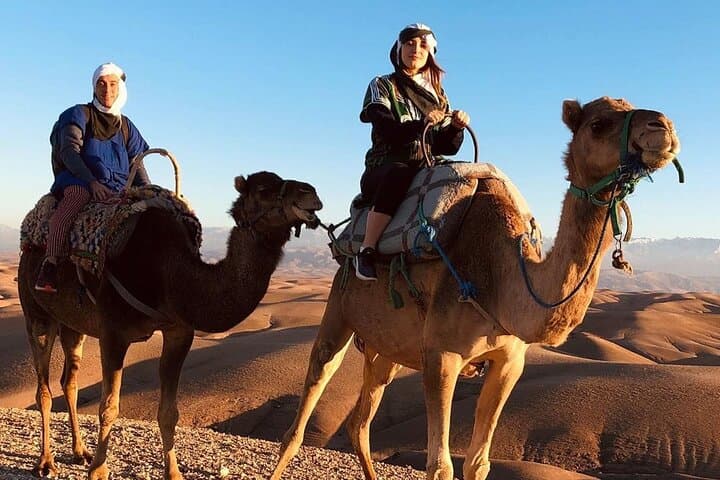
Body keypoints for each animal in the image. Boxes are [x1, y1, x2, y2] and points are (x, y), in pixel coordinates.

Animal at [17, 171, 323, 480]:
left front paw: (173, 472)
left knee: (70, 382)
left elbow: (168, 412)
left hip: (73, 325)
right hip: (36, 312)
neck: (171, 275)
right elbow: (109, 407)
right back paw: (46, 462)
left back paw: (80, 452)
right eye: (262, 189)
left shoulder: (179, 332)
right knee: (43, 388)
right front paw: (99, 471)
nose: (310, 193)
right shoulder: (113, 332)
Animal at [271, 97, 681, 480]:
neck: (502, 279)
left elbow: (478, 463)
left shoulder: (510, 361)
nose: (662, 127)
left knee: (360, 423)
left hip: (385, 348)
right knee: (303, 413)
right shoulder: (441, 356)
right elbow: (440, 466)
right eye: (598, 124)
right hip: (338, 313)